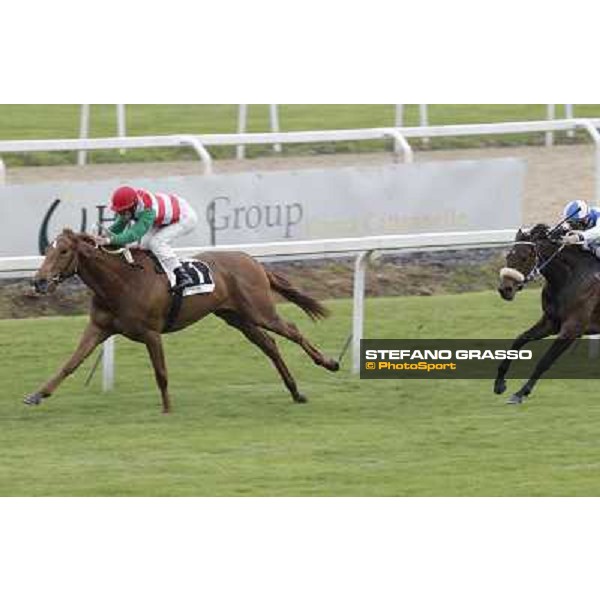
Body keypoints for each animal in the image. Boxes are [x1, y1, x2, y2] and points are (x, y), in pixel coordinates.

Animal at [27, 230, 338, 412]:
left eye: (63, 251)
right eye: (47, 250)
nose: (39, 281)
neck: (122, 282)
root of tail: (251, 260)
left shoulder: (151, 332)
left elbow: (161, 373)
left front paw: (167, 408)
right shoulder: (99, 328)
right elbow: (70, 364)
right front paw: (38, 394)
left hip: (260, 310)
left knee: (292, 331)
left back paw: (329, 363)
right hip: (238, 318)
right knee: (270, 345)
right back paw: (295, 392)